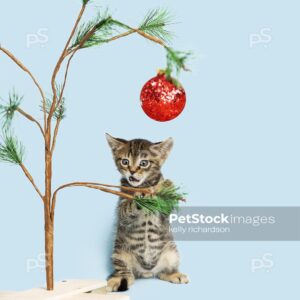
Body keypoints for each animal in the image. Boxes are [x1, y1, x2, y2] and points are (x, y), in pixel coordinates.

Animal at [106, 134, 189, 292]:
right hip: (120, 253)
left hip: (172, 252)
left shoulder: (164, 214)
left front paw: (166, 186)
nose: (132, 171)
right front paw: (141, 198)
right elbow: (128, 207)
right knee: (125, 272)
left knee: (163, 271)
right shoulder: (122, 210)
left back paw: (173, 274)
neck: (143, 185)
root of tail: (147, 272)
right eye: (125, 162)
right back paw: (118, 279)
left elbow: (164, 202)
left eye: (144, 163)